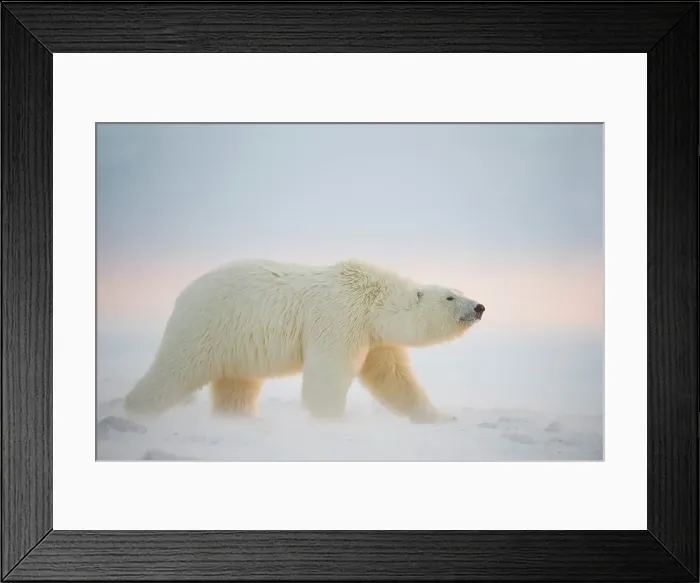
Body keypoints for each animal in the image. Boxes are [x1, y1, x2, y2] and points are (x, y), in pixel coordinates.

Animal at [123, 258, 485, 424]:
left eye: (461, 291)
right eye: (451, 297)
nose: (480, 307)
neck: (370, 297)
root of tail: (184, 294)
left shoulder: (374, 338)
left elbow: (394, 379)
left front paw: (440, 417)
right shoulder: (341, 318)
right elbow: (328, 373)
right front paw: (330, 420)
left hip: (236, 342)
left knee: (238, 385)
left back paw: (238, 419)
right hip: (209, 325)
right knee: (176, 369)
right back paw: (135, 410)